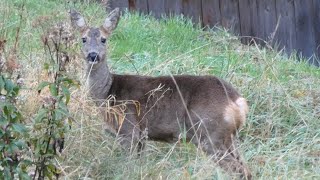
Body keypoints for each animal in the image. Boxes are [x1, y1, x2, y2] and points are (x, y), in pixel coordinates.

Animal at [70, 8, 252, 179]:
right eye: (83, 39)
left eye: (104, 39)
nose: (93, 55)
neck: (108, 93)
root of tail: (237, 100)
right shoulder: (142, 136)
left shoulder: (129, 129)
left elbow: (128, 164)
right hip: (228, 137)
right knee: (246, 168)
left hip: (209, 132)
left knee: (239, 169)